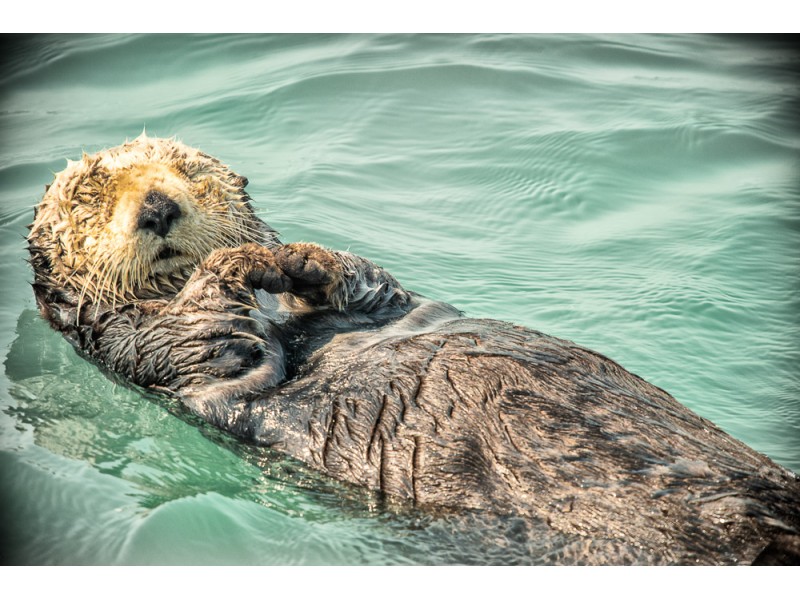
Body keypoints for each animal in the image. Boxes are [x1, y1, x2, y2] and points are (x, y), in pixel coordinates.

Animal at [27, 135, 800, 565]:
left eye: (191, 172)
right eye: (91, 198)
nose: (158, 207)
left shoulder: (383, 304)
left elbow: (367, 283)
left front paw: (290, 255)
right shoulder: (153, 349)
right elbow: (211, 334)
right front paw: (240, 263)